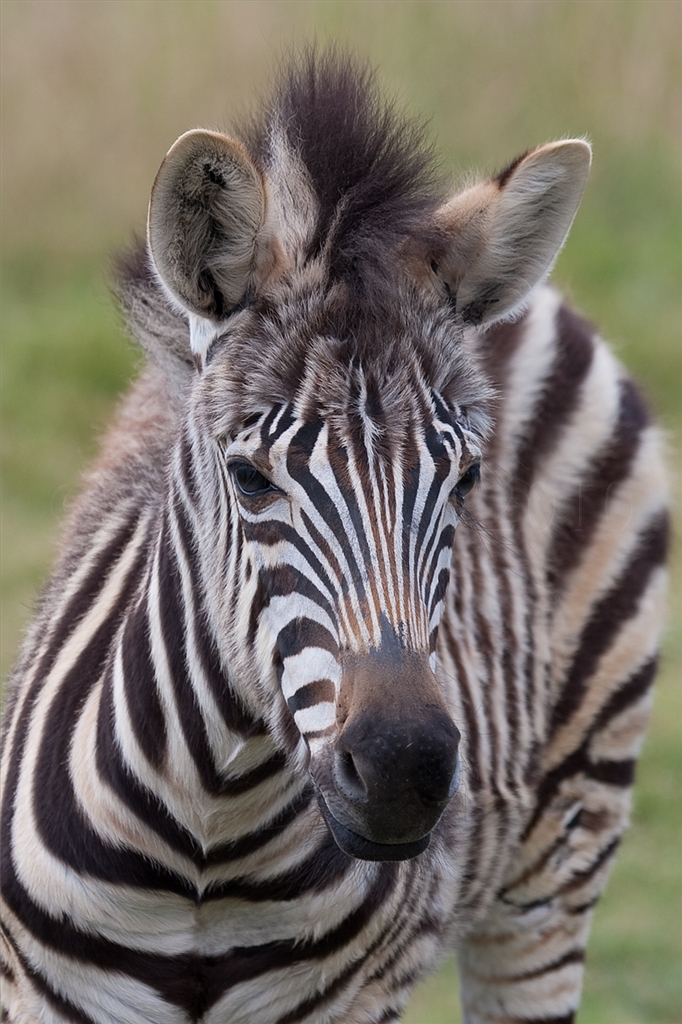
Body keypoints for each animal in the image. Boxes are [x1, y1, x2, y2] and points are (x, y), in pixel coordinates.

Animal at [0, 51, 668, 1024]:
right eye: (248, 479)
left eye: (467, 480)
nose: (402, 774)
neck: (212, 834)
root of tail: (543, 301)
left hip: (559, 861)